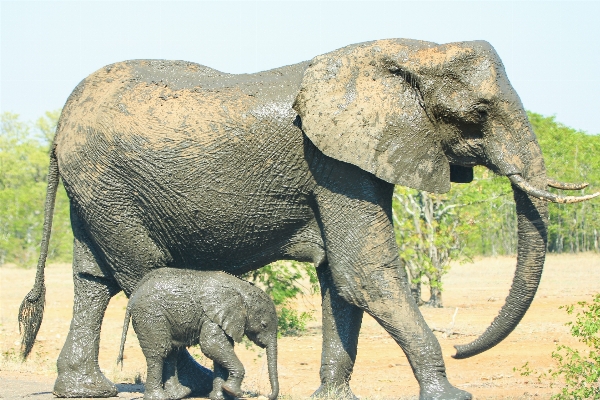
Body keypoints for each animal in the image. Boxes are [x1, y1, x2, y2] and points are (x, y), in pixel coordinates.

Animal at [118, 268, 280, 400]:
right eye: (264, 325)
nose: (268, 396)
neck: (241, 289)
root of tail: (135, 293)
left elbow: (221, 351)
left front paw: (220, 397)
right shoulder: (211, 317)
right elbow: (211, 346)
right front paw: (233, 392)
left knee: (171, 353)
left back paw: (180, 394)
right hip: (150, 315)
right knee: (158, 353)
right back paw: (159, 397)